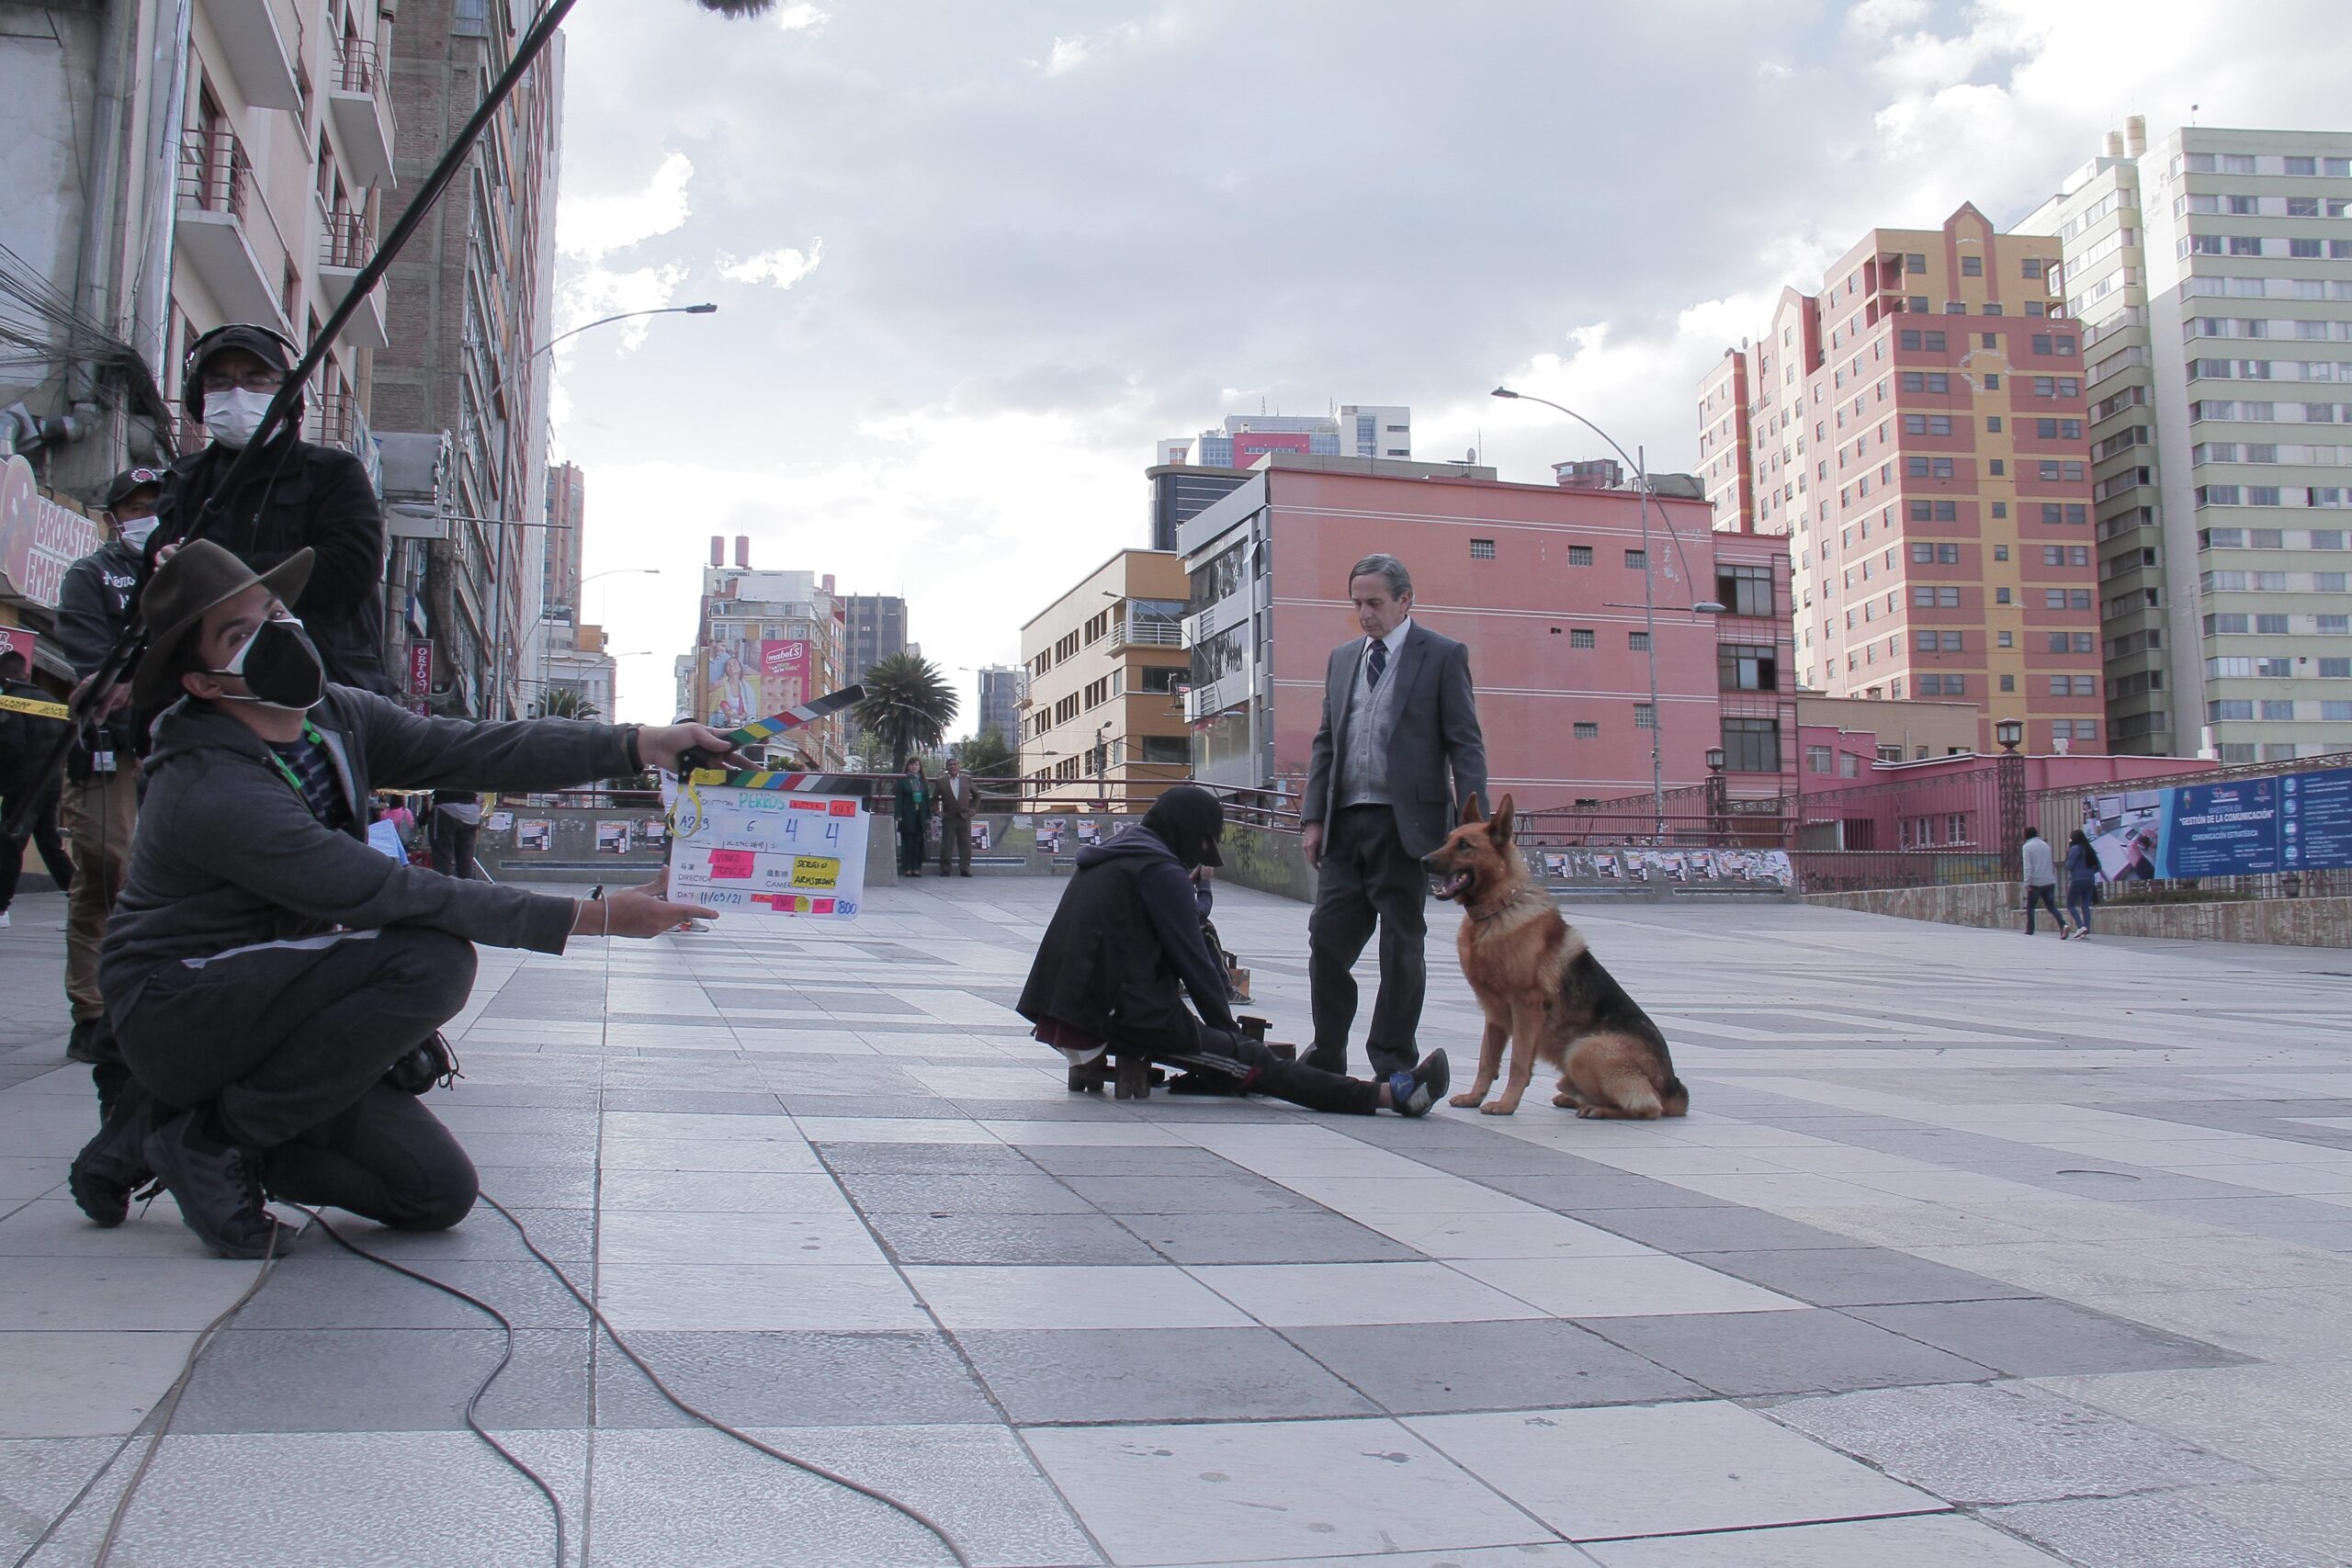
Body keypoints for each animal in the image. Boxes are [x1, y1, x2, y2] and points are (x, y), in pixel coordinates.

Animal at [1420, 804, 1683, 1123]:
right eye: (1448, 840)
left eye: (1464, 845)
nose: (1423, 861)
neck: (1497, 911)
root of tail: (1675, 1089)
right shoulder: (1494, 1013)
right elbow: (1487, 1060)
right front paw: (1475, 1097)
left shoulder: (1526, 1008)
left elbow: (1518, 1063)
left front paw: (1506, 1105)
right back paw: (1574, 1099)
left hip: (1584, 1049)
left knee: (1646, 1107)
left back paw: (1596, 1108)